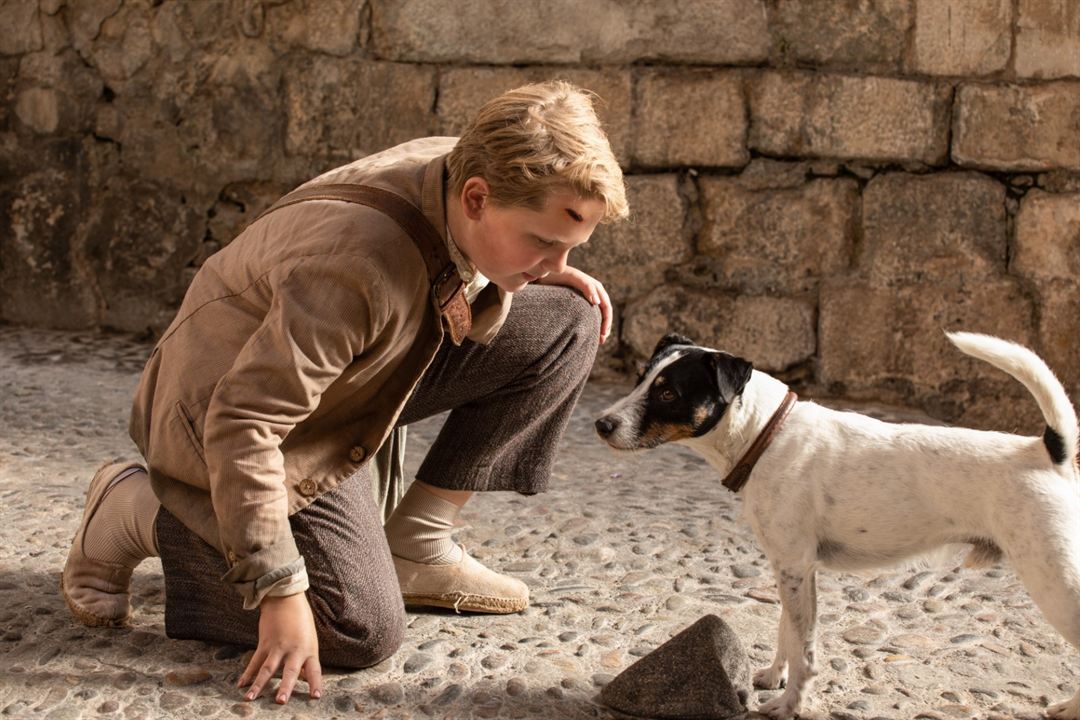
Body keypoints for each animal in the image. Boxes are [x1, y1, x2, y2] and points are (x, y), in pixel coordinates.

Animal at [596, 332, 1080, 720]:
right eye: (641, 379)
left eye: (669, 393)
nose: (601, 424)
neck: (766, 436)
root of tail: (1045, 451)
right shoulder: (792, 567)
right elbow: (787, 632)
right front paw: (773, 677)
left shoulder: (794, 565)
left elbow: (805, 651)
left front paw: (789, 706)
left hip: (1056, 584)